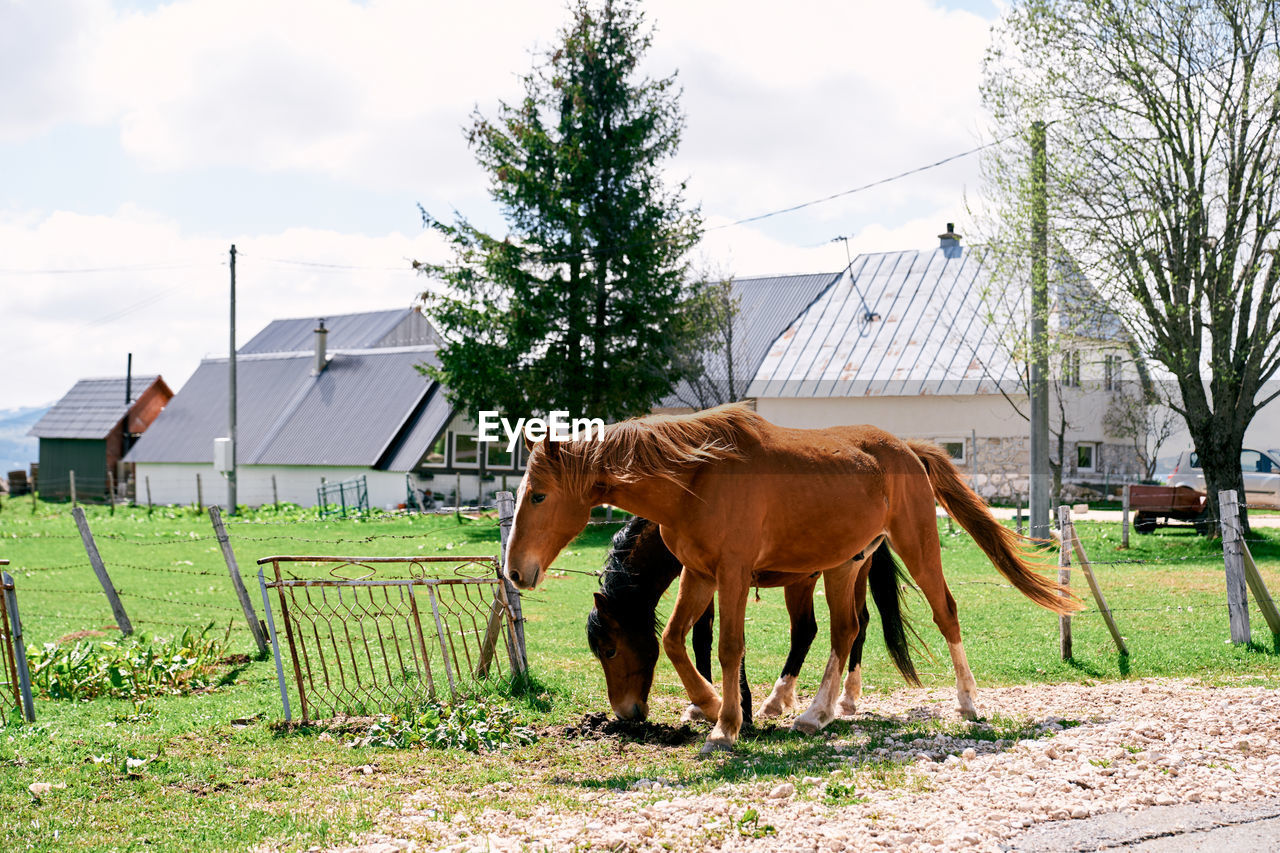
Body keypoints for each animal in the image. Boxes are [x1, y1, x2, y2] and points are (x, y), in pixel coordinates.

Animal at [588, 514, 921, 722]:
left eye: (610, 650)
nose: (623, 713)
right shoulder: (700, 578)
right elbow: (701, 637)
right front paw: (701, 704)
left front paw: (738, 704)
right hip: (808, 578)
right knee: (814, 629)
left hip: (848, 571)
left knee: (853, 625)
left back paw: (841, 699)